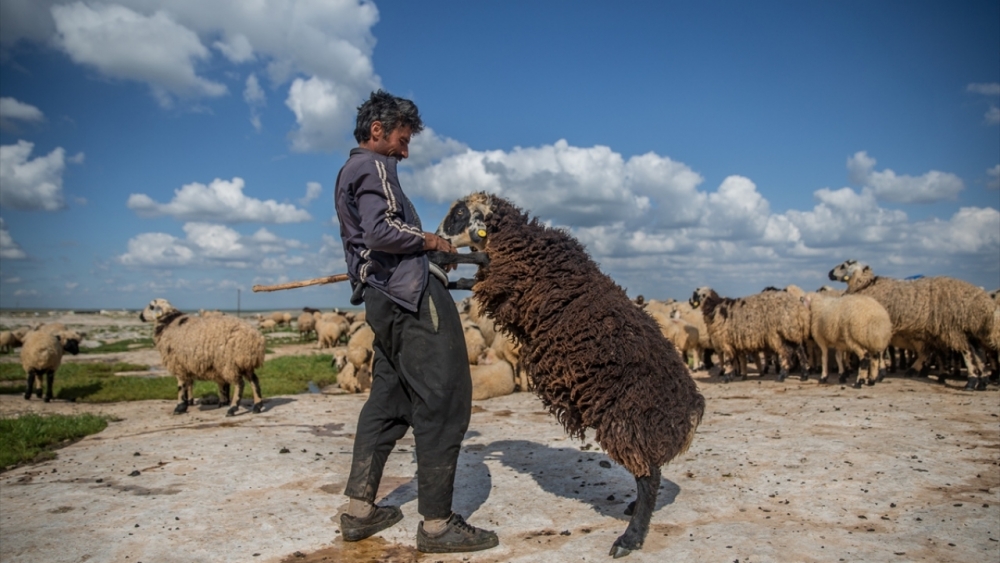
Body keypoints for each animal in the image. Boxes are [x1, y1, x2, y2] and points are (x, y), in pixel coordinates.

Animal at [434, 193, 708, 560]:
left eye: (459, 214)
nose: (435, 238)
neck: (520, 242)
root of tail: (690, 409)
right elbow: (475, 276)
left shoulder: (505, 283)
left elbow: (479, 269)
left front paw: (448, 262)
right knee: (650, 473)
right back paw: (634, 511)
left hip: (628, 425)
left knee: (648, 478)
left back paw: (630, 538)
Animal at [828, 262, 1000, 390]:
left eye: (844, 264)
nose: (829, 273)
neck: (865, 286)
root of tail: (984, 303)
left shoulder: (879, 329)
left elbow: (880, 351)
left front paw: (877, 374)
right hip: (961, 331)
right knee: (975, 352)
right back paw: (982, 380)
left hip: (952, 328)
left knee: (966, 352)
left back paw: (971, 381)